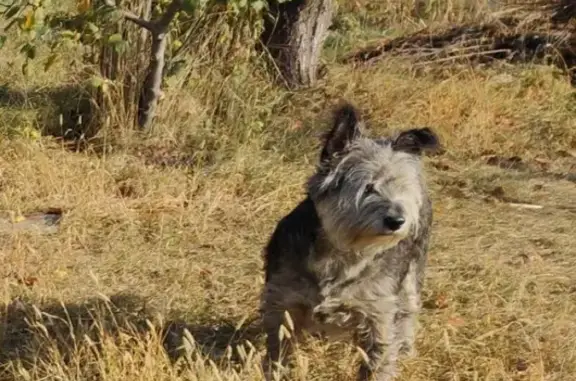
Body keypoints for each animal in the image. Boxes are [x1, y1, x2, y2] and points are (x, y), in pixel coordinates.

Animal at [258, 101, 438, 380]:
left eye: (403, 188)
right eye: (368, 186)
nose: (398, 220)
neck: (342, 252)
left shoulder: (379, 312)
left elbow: (378, 359)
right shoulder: (282, 301)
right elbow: (278, 350)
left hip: (412, 276)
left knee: (409, 310)